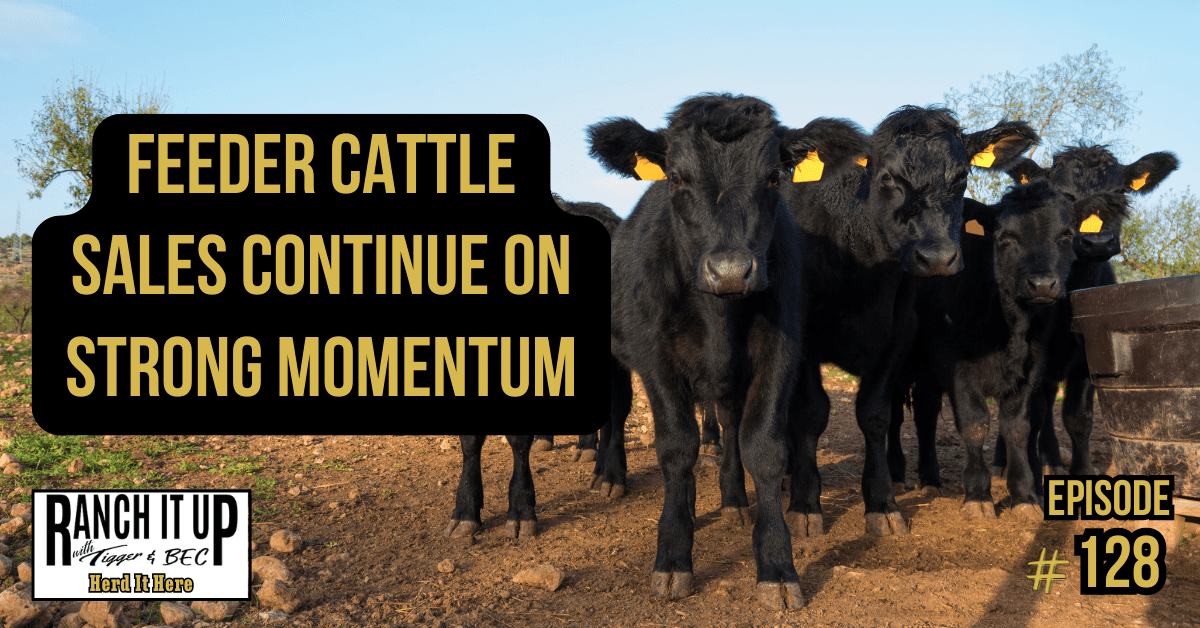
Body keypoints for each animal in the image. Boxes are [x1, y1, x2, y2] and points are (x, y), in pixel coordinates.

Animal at [588, 93, 814, 609]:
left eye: (774, 176)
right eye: (676, 177)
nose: (729, 270)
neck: (718, 315)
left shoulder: (782, 351)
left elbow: (762, 446)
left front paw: (777, 565)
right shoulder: (655, 359)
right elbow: (677, 447)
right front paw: (673, 555)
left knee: (728, 425)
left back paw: (731, 500)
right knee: (616, 411)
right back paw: (610, 476)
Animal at [893, 182, 1126, 518]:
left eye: (1065, 235)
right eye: (1005, 237)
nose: (1042, 284)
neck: (1007, 324)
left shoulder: (1032, 366)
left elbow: (1019, 426)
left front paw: (1025, 496)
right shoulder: (955, 364)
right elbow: (975, 422)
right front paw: (978, 495)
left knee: (926, 414)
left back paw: (930, 480)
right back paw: (897, 476)